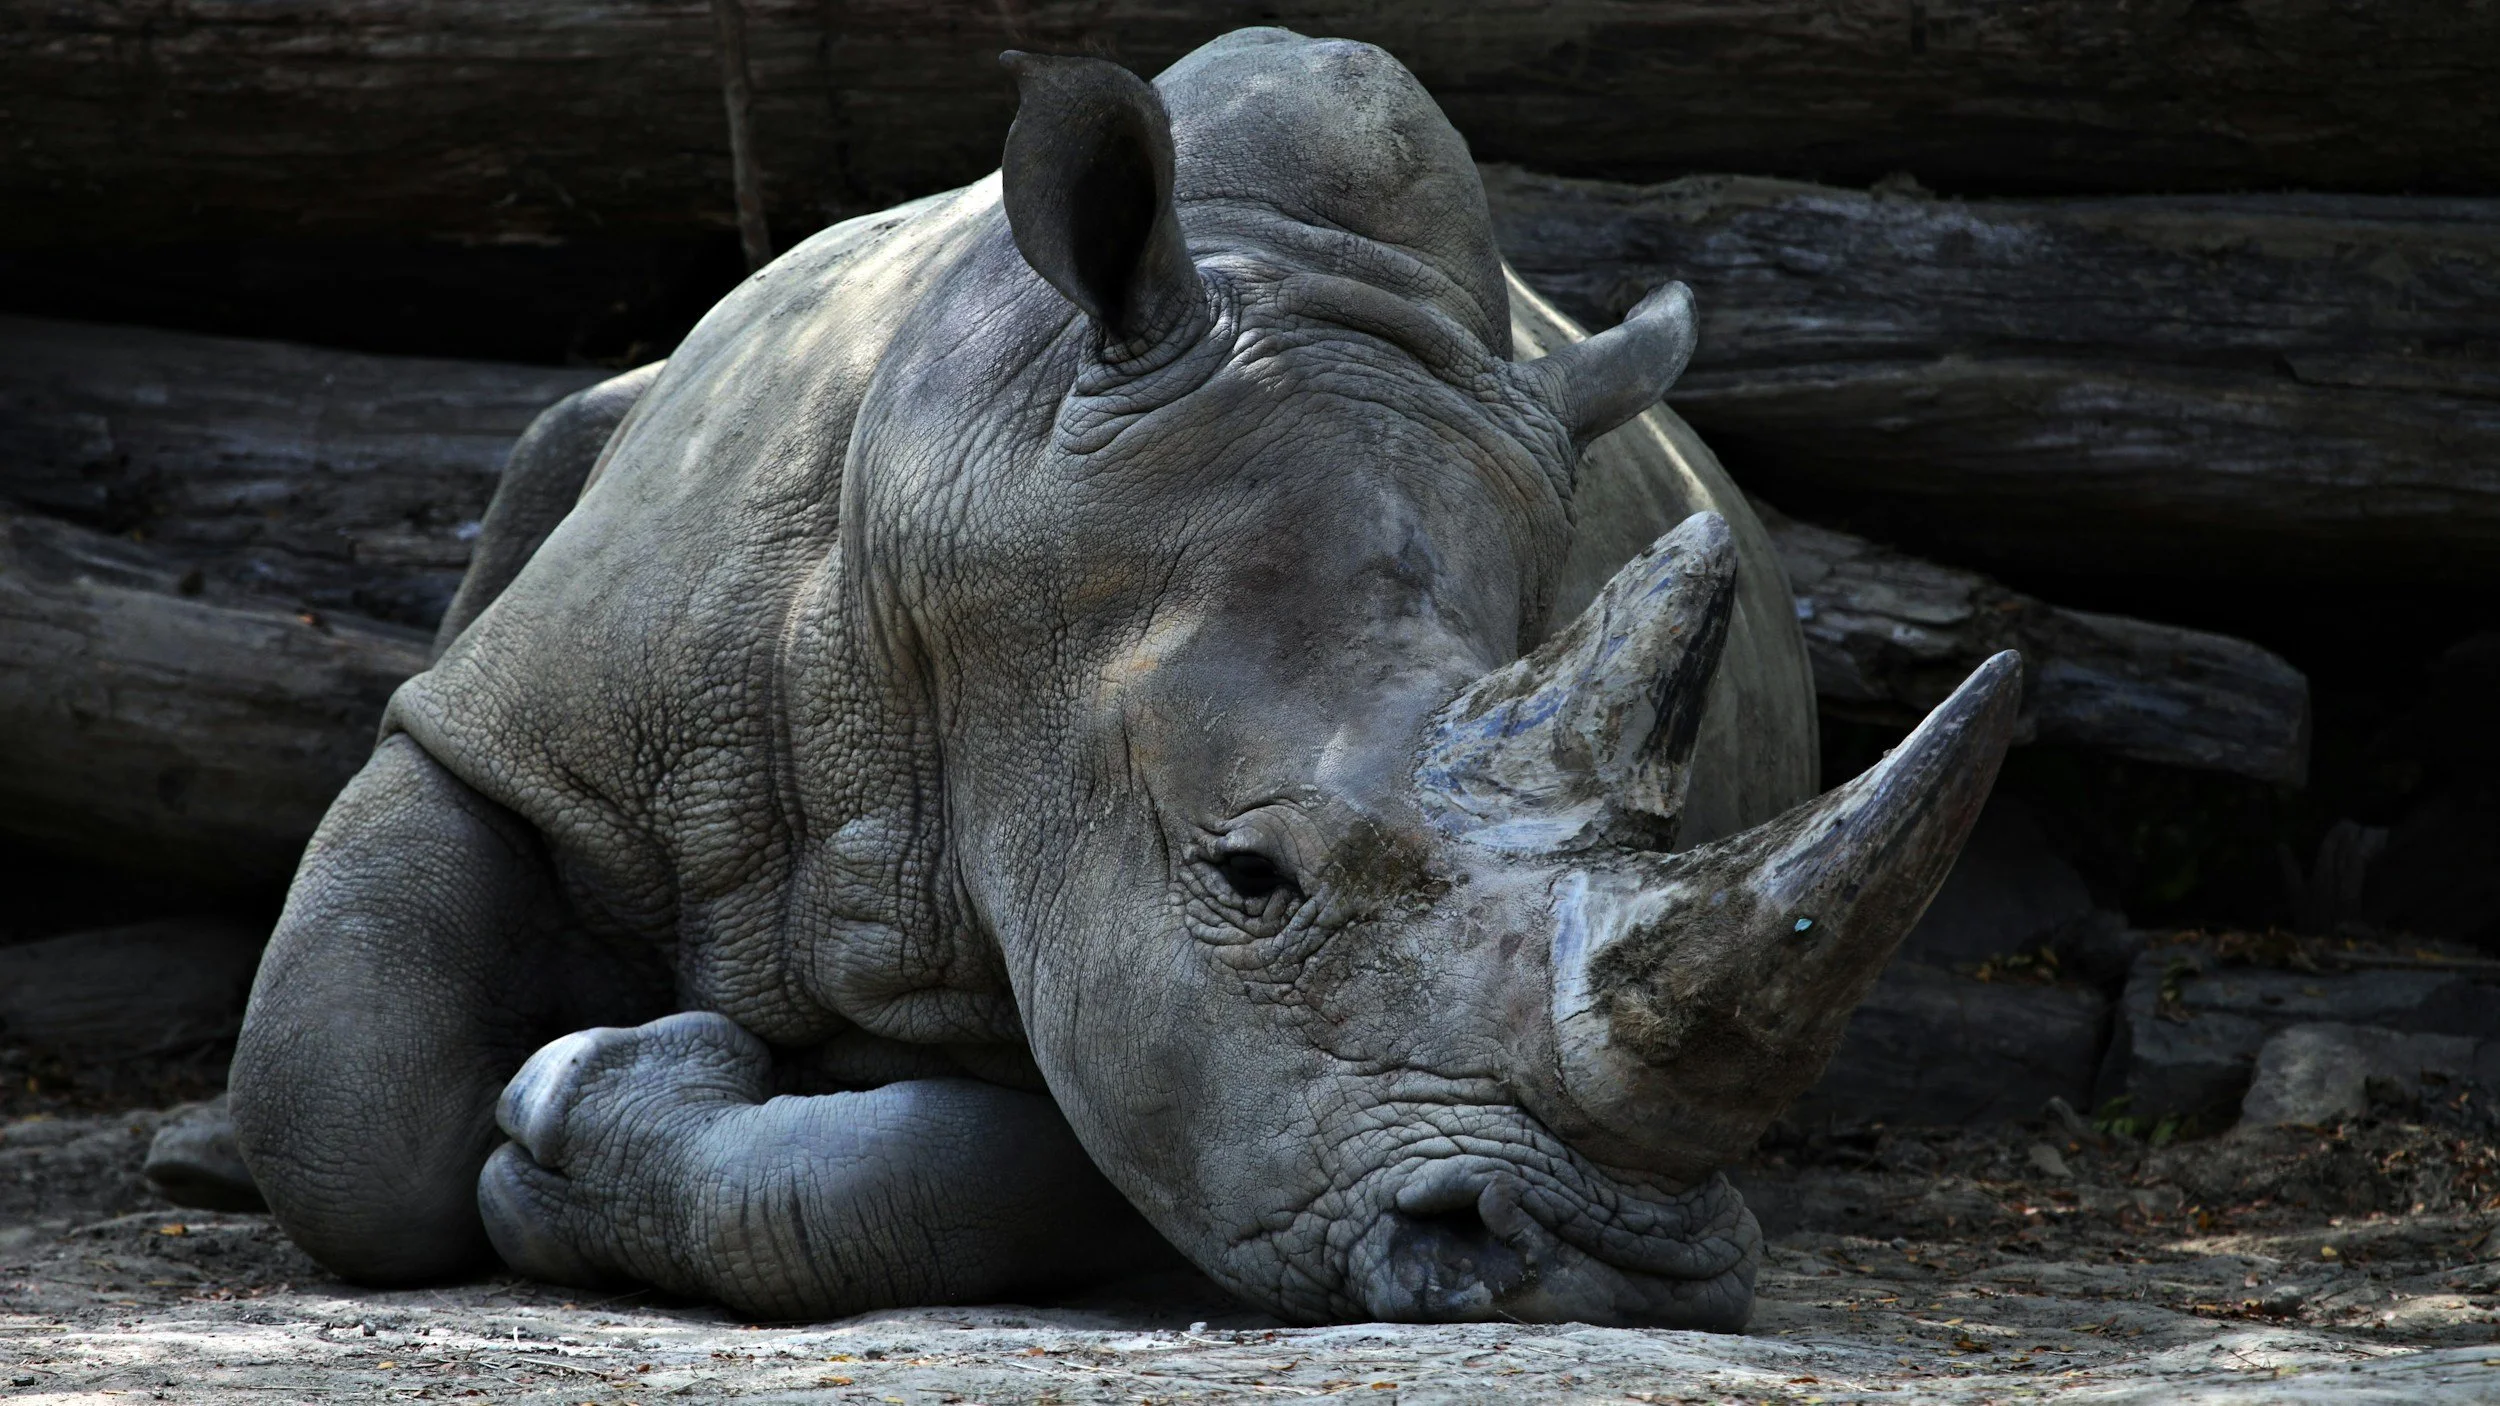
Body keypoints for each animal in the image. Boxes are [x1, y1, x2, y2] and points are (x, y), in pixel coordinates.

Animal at [229, 28, 2017, 1330]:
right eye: (1248, 873)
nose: (1606, 1268)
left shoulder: (1166, 1020)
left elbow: (1030, 1154)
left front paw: (595, 1102)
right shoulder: (536, 721)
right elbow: (337, 1097)